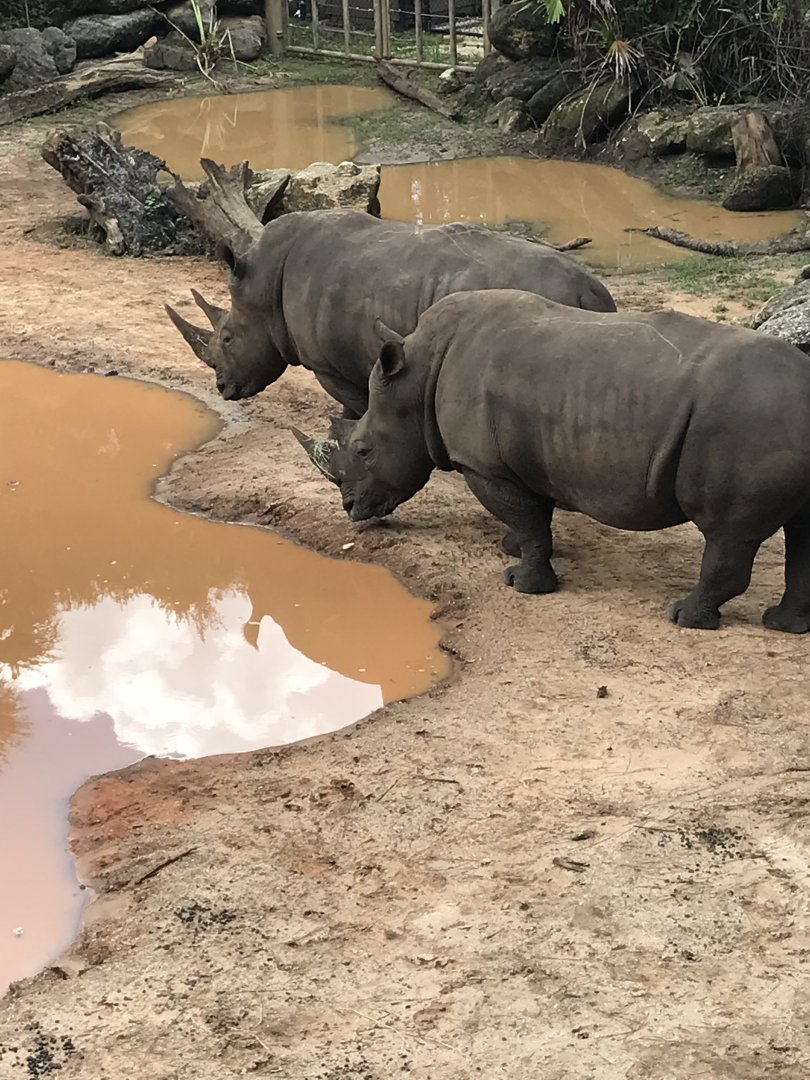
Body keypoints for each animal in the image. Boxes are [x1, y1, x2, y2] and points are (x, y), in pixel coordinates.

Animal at [165, 209, 616, 420]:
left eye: (227, 339)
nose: (223, 388)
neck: (264, 282)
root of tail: (589, 291)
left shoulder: (327, 363)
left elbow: (357, 404)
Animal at [308, 289, 810, 632]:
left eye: (363, 450)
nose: (350, 508)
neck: (417, 378)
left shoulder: (486, 466)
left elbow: (530, 521)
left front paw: (521, 582)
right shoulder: (526, 460)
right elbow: (532, 517)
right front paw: (511, 547)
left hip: (747, 424)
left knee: (728, 534)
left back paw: (684, 616)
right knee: (800, 532)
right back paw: (782, 624)